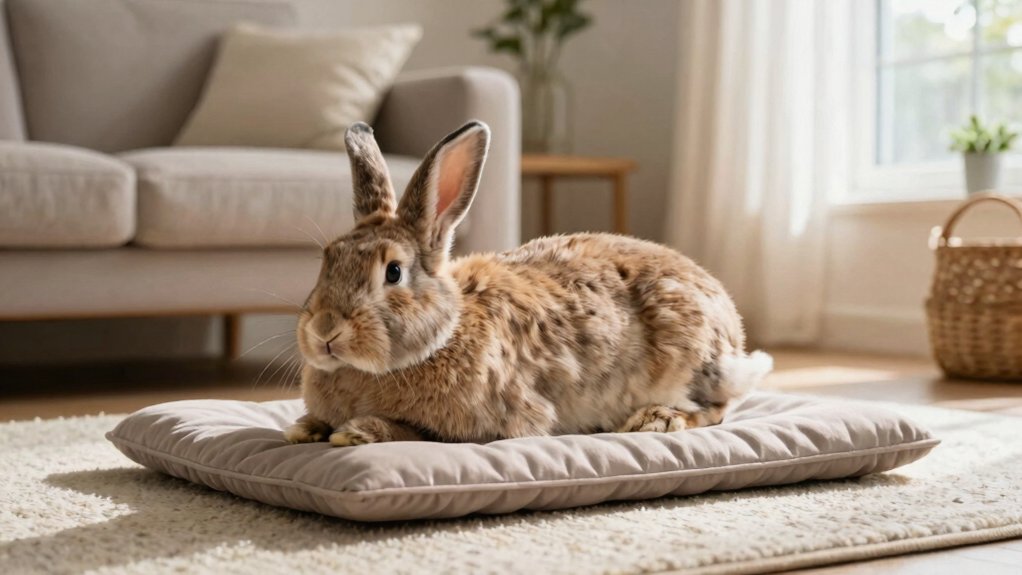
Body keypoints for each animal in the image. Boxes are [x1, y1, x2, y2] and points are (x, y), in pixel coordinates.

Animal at [284, 120, 773, 447]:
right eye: (327, 259)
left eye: (393, 272)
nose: (325, 331)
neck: (444, 335)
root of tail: (733, 329)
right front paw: (303, 429)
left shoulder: (498, 425)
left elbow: (415, 432)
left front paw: (357, 432)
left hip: (694, 361)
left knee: (721, 408)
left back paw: (656, 419)